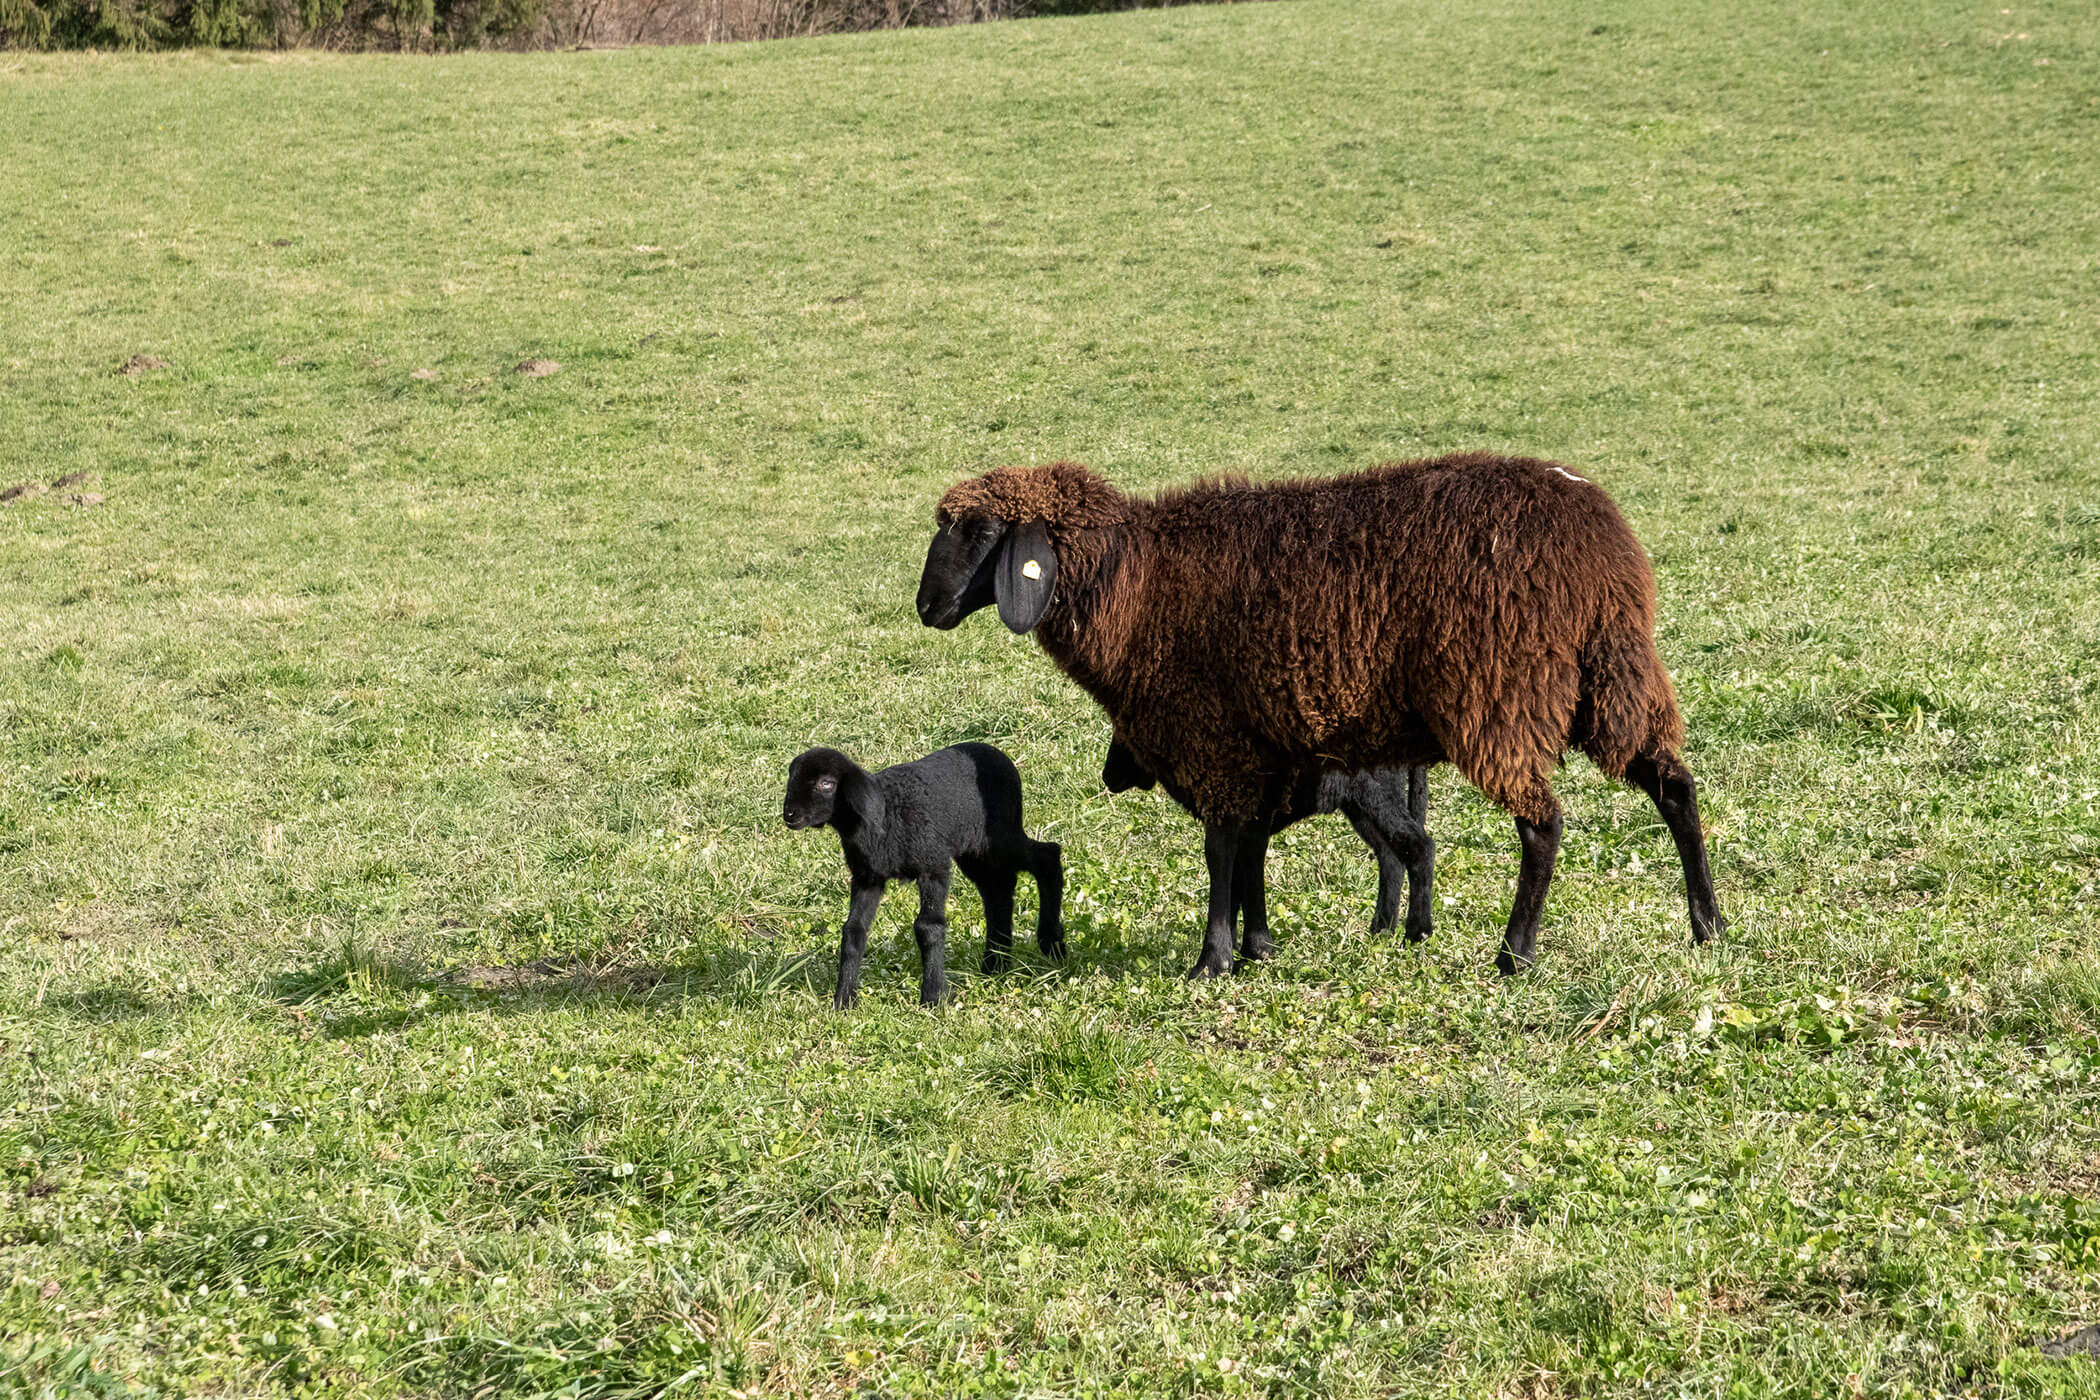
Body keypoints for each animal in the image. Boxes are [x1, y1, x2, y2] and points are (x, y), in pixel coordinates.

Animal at [783, 743, 1064, 1008]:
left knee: (1047, 856)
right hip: (974, 851)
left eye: (826, 783)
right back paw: (995, 965)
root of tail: (1001, 756)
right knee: (998, 890)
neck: (885, 815)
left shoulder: (933, 864)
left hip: (999, 835)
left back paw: (1052, 943)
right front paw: (843, 1000)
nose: (789, 814)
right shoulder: (868, 877)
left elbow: (928, 926)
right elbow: (854, 930)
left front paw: (933, 996)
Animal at [1104, 737, 1434, 961]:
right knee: (1391, 856)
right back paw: (1381, 930)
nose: (1108, 776)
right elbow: (1234, 887)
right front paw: (1233, 950)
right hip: (1360, 806)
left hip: (1375, 796)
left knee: (1420, 846)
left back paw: (1416, 933)